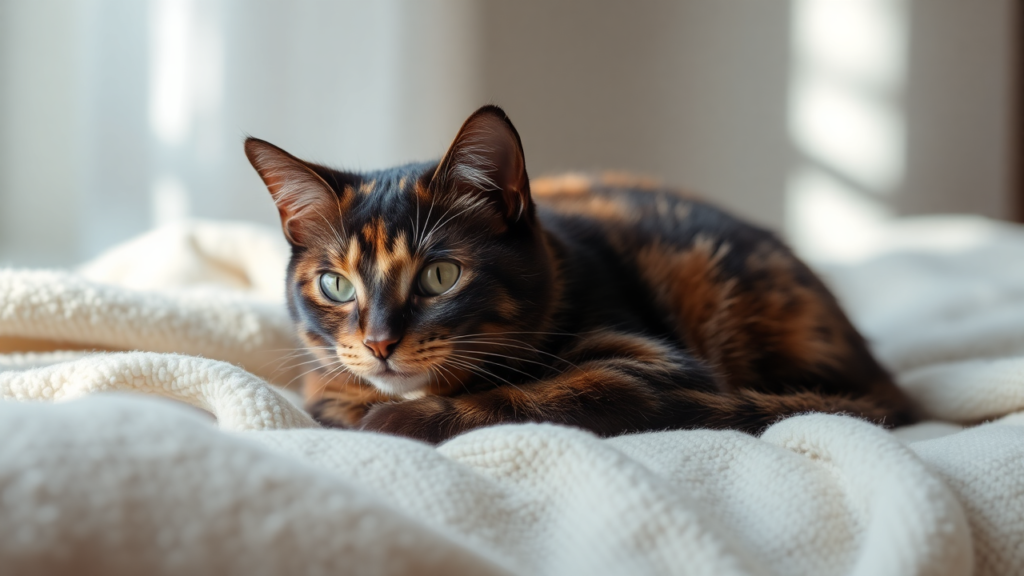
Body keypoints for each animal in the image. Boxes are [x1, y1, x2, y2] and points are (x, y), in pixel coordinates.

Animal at [243, 104, 917, 444]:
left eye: (440, 276)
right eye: (335, 284)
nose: (380, 342)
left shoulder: (651, 366)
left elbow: (531, 395)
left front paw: (397, 420)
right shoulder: (324, 380)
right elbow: (332, 395)